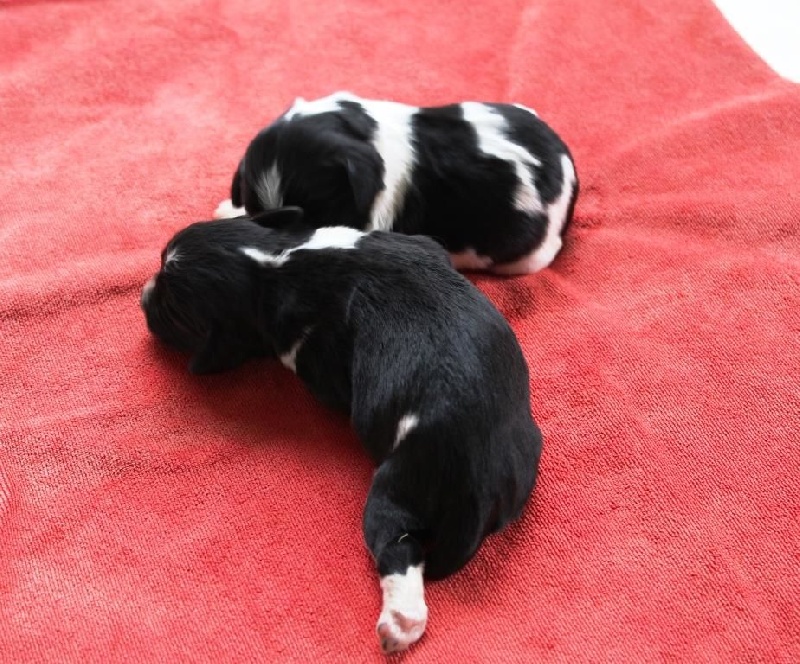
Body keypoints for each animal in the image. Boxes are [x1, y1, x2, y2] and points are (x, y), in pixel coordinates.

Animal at [141, 208, 543, 653]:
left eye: (172, 308)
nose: (143, 295)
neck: (273, 261)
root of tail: (479, 478)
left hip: (395, 490)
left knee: (399, 549)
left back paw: (401, 622)